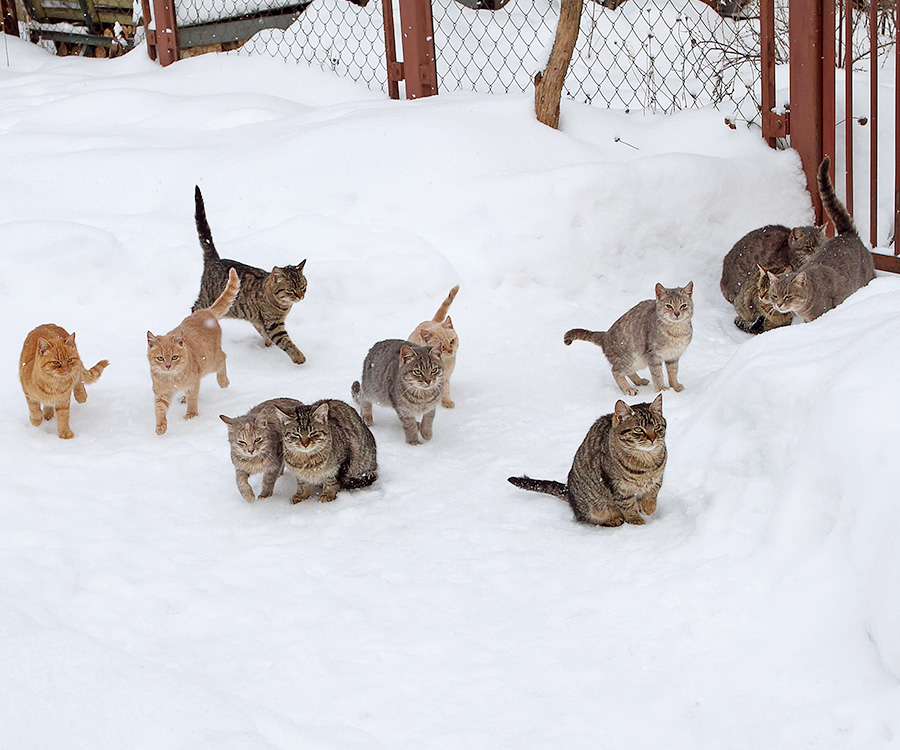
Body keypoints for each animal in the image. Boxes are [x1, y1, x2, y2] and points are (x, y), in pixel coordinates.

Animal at [148, 270, 239, 438]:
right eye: (160, 358)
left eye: (174, 357)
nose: (168, 366)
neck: (172, 378)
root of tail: (206, 311)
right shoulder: (161, 393)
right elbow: (160, 410)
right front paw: (161, 426)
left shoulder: (192, 384)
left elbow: (193, 398)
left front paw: (191, 415)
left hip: (211, 361)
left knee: (223, 359)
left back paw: (223, 382)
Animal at [192, 187, 308, 366]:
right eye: (291, 290)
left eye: (303, 287)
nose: (301, 296)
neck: (282, 305)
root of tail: (215, 259)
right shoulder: (273, 324)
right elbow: (286, 342)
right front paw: (298, 356)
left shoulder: (260, 320)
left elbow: (263, 332)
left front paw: (268, 345)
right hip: (208, 299)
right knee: (194, 309)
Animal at [506, 396, 668, 524]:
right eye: (638, 429)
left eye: (657, 427)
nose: (652, 438)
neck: (646, 462)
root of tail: (570, 493)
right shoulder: (617, 486)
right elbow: (627, 506)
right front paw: (636, 521)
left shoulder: (658, 477)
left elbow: (653, 492)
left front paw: (649, 507)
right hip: (592, 507)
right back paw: (612, 519)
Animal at [564, 284, 696, 400]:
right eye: (668, 306)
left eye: (683, 305)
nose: (677, 313)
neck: (676, 332)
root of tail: (605, 336)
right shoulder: (653, 356)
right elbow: (658, 374)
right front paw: (662, 389)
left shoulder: (673, 356)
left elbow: (673, 372)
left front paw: (675, 386)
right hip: (631, 358)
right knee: (616, 371)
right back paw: (628, 389)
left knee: (627, 373)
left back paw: (639, 381)